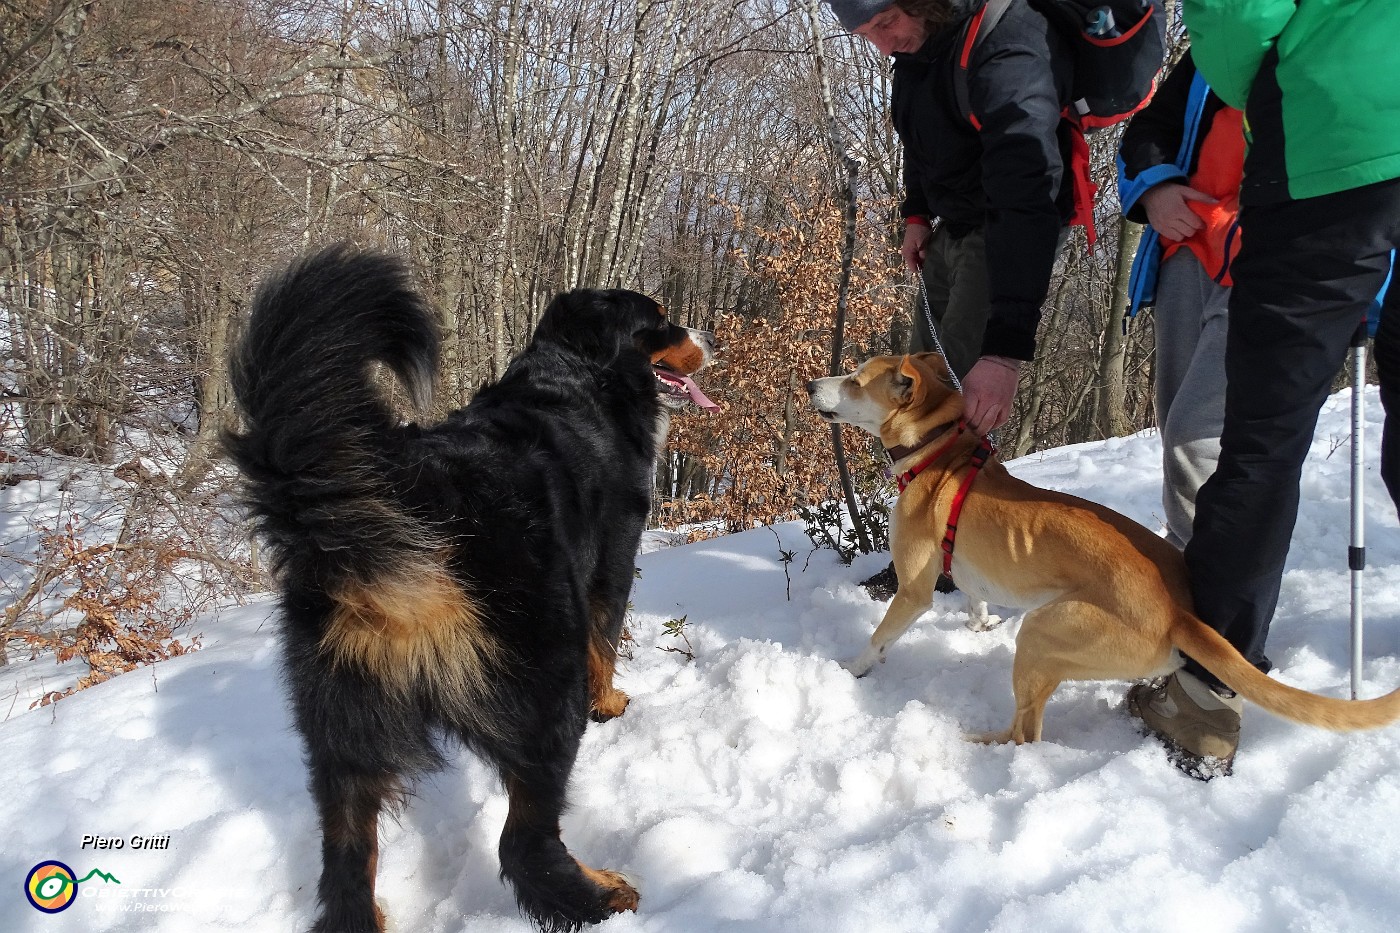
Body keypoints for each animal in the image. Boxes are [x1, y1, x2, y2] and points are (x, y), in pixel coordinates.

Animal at [228, 243, 716, 924]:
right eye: (662, 322)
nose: (709, 335)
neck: (577, 378)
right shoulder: (613, 555)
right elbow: (606, 640)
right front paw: (610, 702)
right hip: (543, 681)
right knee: (524, 842)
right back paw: (599, 895)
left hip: (342, 725)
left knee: (347, 866)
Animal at [806, 353, 1400, 745]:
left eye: (855, 381)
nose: (812, 383)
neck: (937, 447)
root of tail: (1179, 612)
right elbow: (975, 598)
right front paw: (979, 624)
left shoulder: (913, 591)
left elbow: (880, 636)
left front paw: (852, 669)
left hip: (1045, 635)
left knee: (1026, 733)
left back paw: (983, 745)